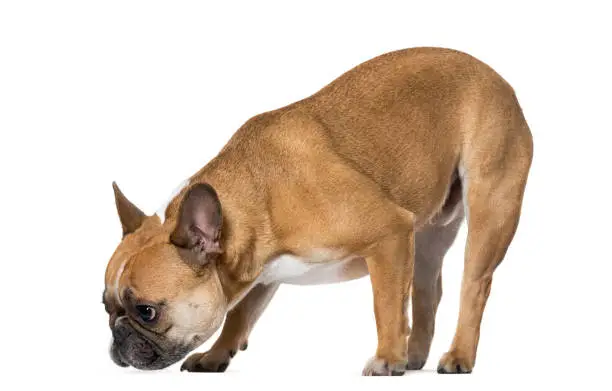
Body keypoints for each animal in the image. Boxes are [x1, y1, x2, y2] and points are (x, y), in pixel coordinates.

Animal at [103, 47, 532, 376]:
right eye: (106, 306)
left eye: (146, 311)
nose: (116, 335)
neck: (256, 195)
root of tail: (497, 78)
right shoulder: (260, 274)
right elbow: (239, 315)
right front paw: (216, 355)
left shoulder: (390, 233)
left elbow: (386, 305)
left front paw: (386, 358)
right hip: (428, 233)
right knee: (427, 290)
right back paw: (414, 357)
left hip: (490, 204)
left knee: (473, 286)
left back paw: (455, 356)